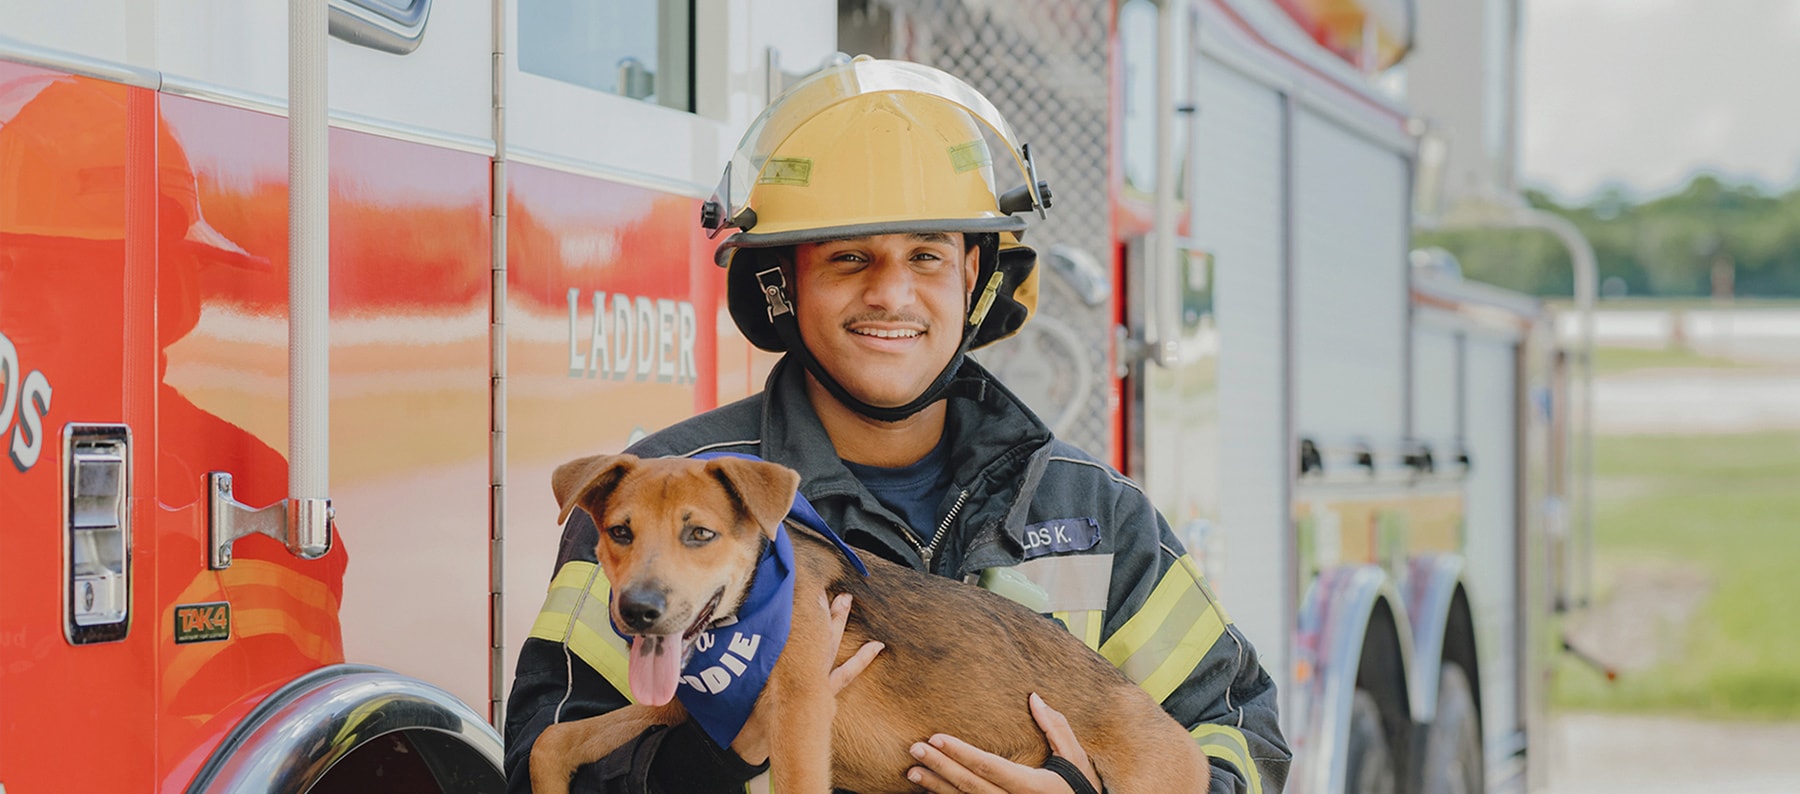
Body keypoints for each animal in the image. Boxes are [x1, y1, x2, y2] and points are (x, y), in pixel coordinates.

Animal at [532, 451, 1209, 792]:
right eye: (620, 532)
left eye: (699, 534)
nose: (638, 611)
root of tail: (1171, 728)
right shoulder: (690, 704)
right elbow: (551, 740)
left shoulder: (800, 713)